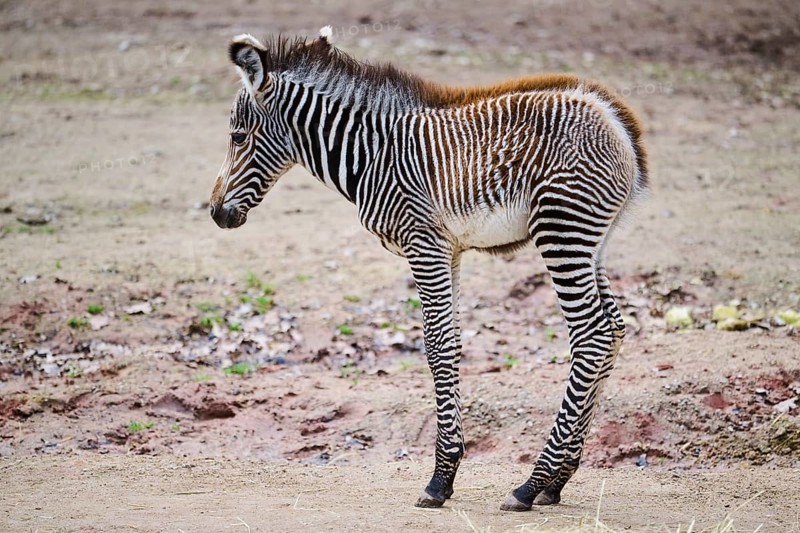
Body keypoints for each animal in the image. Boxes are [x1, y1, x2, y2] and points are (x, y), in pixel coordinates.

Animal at [209, 27, 647, 511]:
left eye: (238, 137)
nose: (216, 214)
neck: (369, 153)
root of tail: (614, 117)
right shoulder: (448, 250)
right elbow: (452, 344)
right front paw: (450, 471)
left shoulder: (424, 244)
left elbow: (436, 348)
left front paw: (440, 479)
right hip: (592, 242)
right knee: (614, 329)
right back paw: (558, 480)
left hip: (562, 230)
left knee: (592, 334)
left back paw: (530, 484)